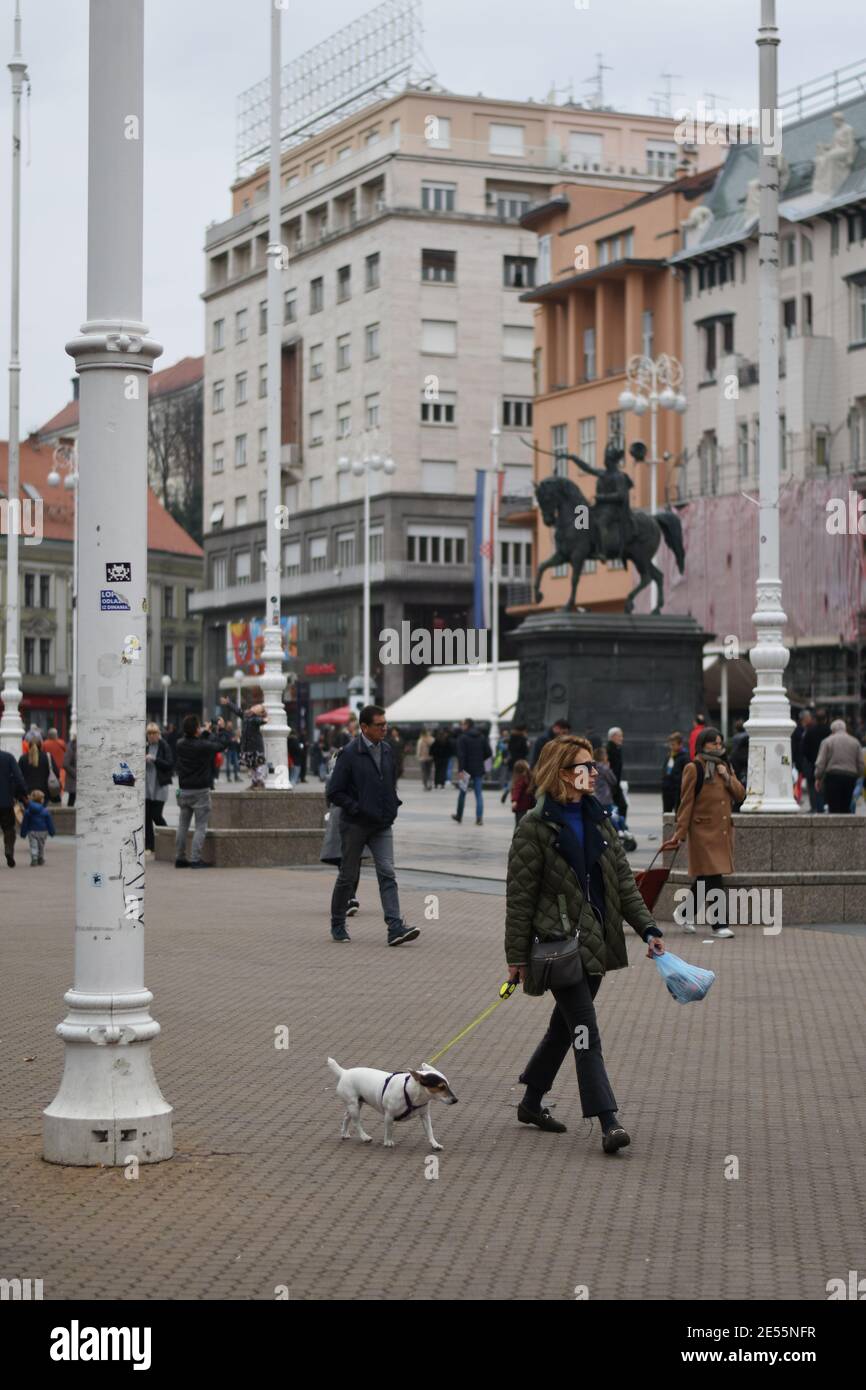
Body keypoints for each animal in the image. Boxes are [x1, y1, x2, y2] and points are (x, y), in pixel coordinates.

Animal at [326, 1056, 461, 1145]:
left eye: (448, 1085)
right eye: (441, 1087)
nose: (455, 1100)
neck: (411, 1093)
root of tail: (344, 1072)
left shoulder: (425, 1115)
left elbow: (430, 1131)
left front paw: (435, 1144)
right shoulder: (389, 1115)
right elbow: (389, 1129)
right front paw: (388, 1141)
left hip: (356, 1103)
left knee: (346, 1117)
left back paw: (344, 1133)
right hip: (353, 1105)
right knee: (356, 1122)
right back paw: (365, 1137)